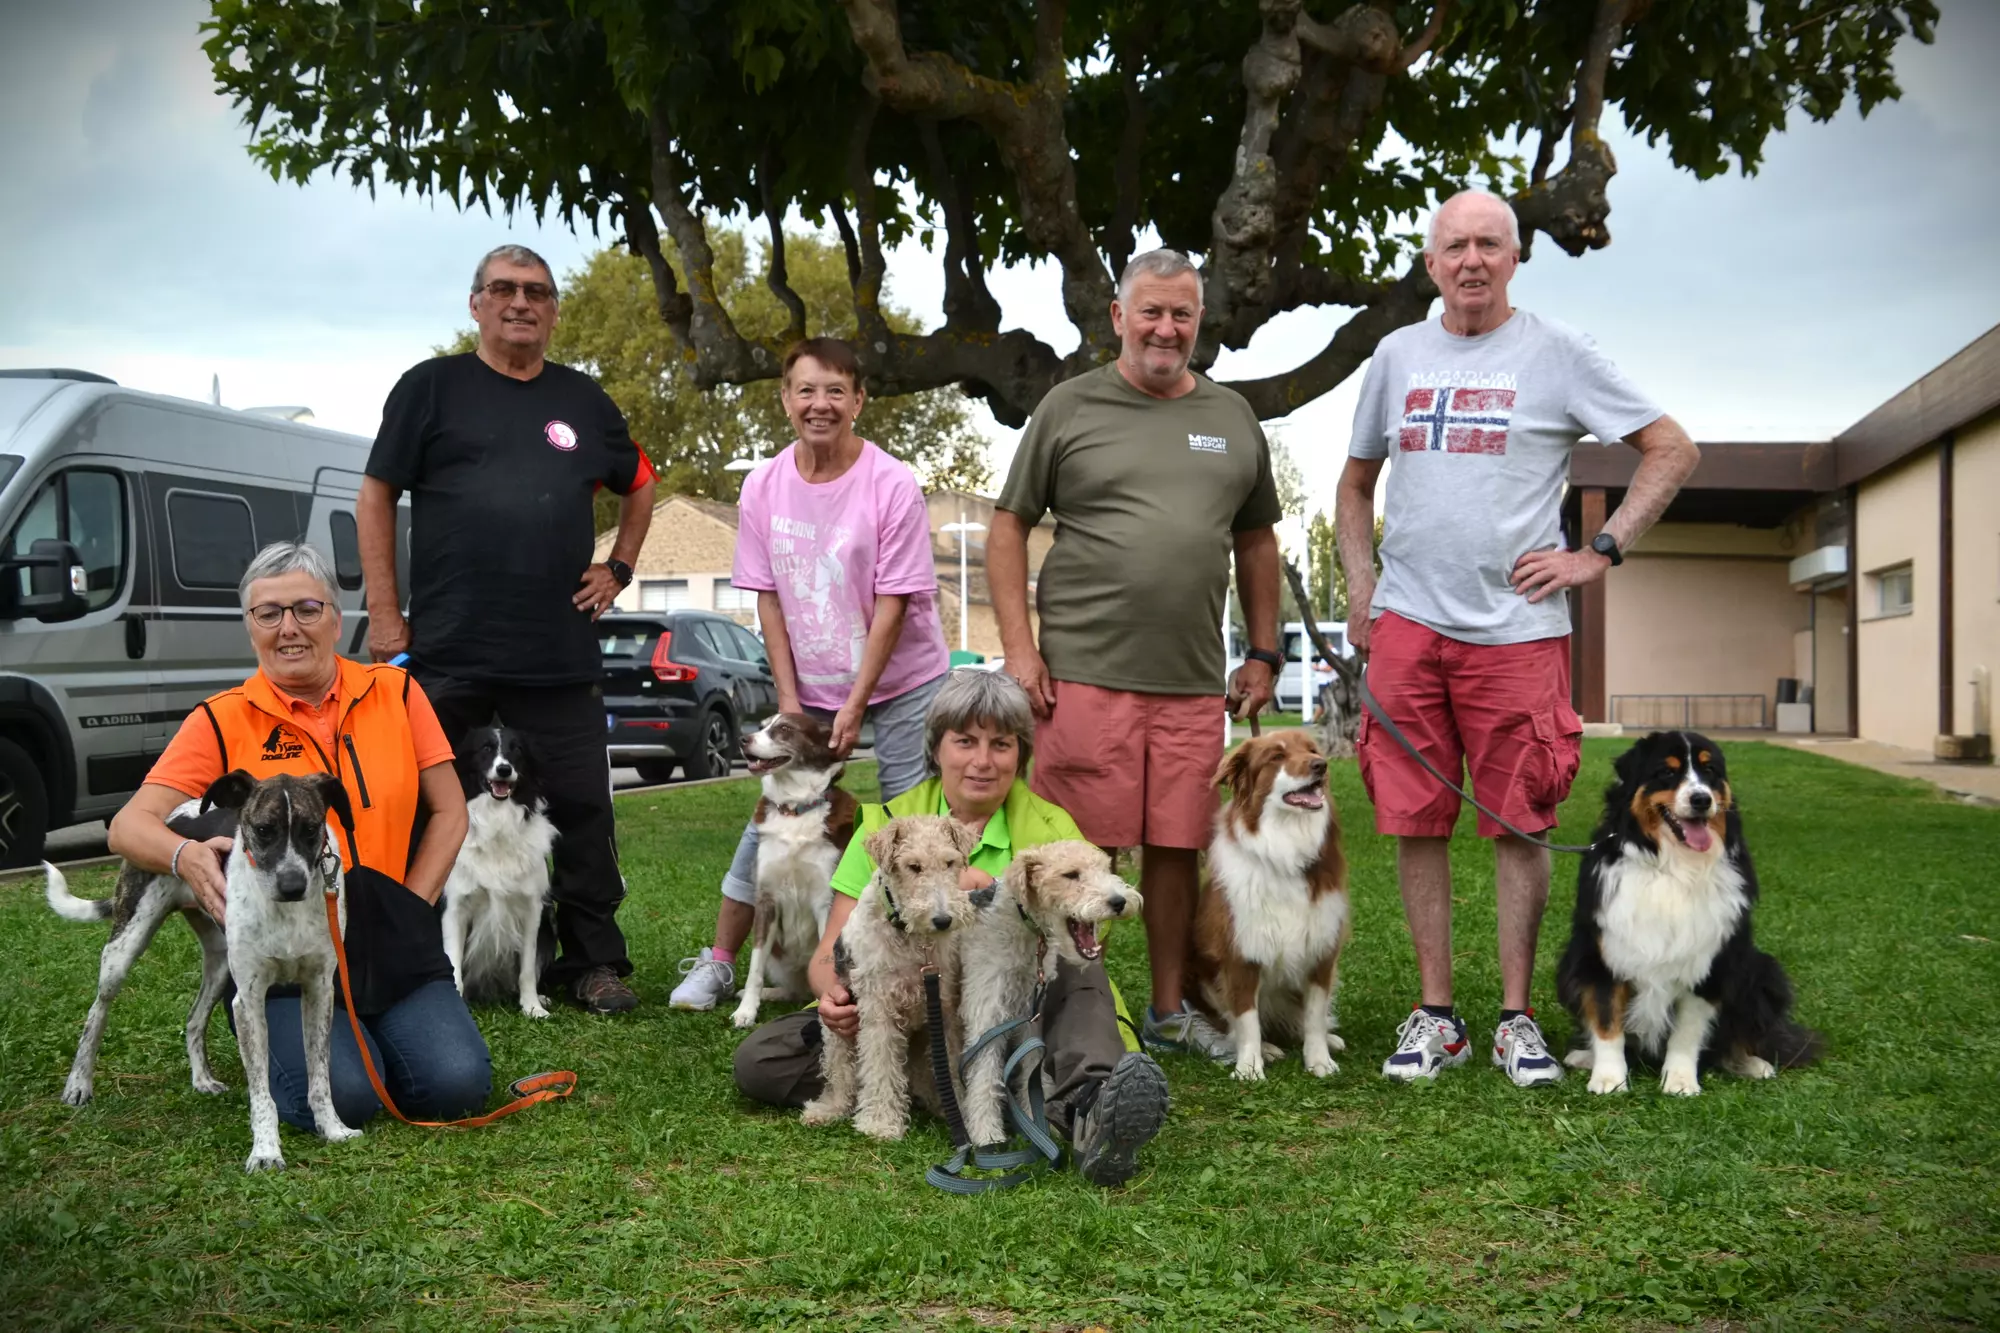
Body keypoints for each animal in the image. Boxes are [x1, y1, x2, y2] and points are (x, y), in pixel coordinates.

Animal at [440, 720, 556, 1012]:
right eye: (485, 748)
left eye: (517, 750)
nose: (504, 769)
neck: (496, 821)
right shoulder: (455, 908)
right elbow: (453, 966)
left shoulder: (532, 909)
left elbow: (527, 968)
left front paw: (532, 1007)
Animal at [736, 712, 860, 1020]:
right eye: (761, 727)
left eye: (784, 728)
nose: (742, 739)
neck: (795, 810)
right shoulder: (766, 900)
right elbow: (755, 967)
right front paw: (746, 1011)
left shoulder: (825, 901)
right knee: (791, 989)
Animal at [1192, 728, 1352, 1080]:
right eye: (1277, 756)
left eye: (1312, 750)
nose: (1321, 766)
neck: (1285, 847)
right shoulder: (1241, 952)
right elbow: (1246, 1018)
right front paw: (1250, 1066)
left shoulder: (1321, 951)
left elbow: (1315, 1015)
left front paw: (1319, 1059)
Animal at [1552, 732, 1824, 1096]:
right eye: (1667, 772)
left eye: (1710, 771)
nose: (1701, 800)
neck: (1675, 867)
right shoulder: (1601, 955)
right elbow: (1607, 1020)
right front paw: (1608, 1078)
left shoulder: (1710, 963)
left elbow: (1687, 1031)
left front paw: (1680, 1081)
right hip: (1569, 963)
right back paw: (1584, 1056)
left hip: (1763, 971)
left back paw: (1751, 1063)